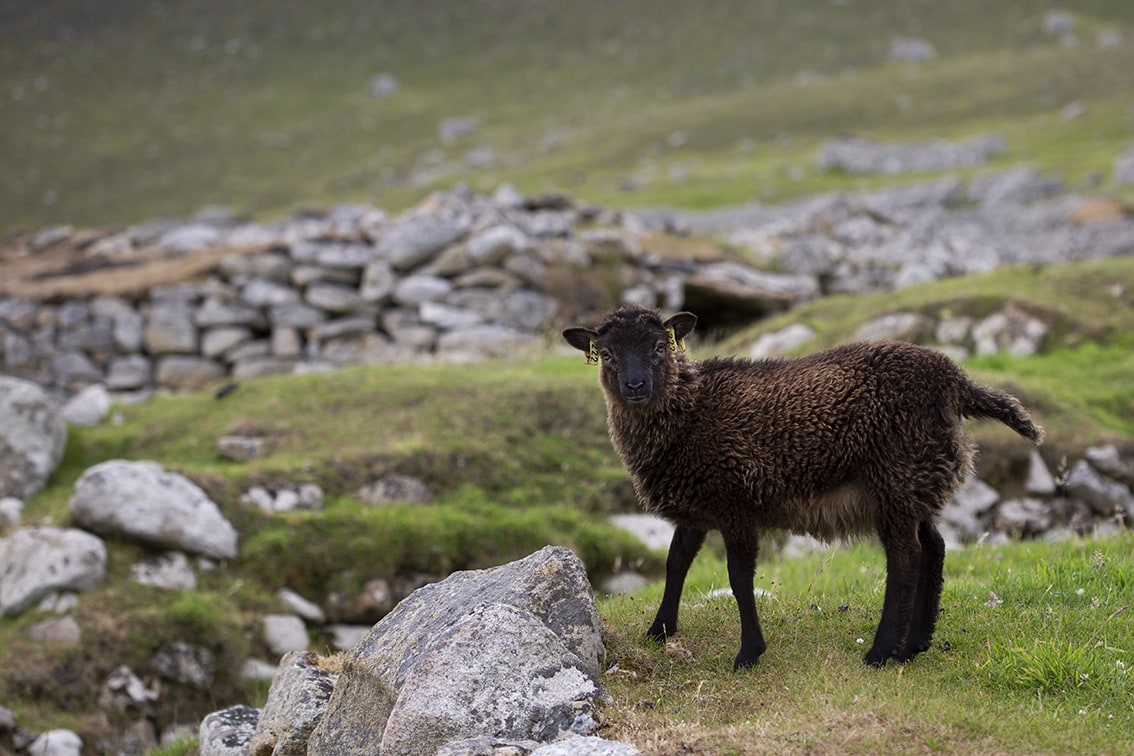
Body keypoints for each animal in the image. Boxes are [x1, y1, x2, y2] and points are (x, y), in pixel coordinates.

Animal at [560, 303, 1043, 670]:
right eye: (606, 354)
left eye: (660, 347)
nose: (635, 385)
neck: (689, 411)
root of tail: (955, 381)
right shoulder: (698, 506)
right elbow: (675, 563)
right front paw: (659, 631)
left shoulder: (735, 503)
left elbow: (738, 578)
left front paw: (748, 653)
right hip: (915, 482)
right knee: (936, 547)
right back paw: (916, 645)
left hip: (897, 477)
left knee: (906, 558)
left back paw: (882, 652)